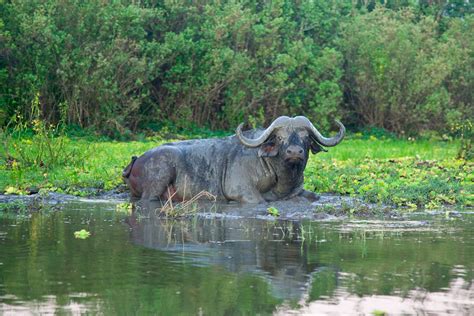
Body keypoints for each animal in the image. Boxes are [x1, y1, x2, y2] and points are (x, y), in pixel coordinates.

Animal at [123, 116, 344, 202]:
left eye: (306, 137)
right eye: (280, 137)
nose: (295, 152)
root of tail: (136, 160)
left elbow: (315, 196)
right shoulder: (242, 192)